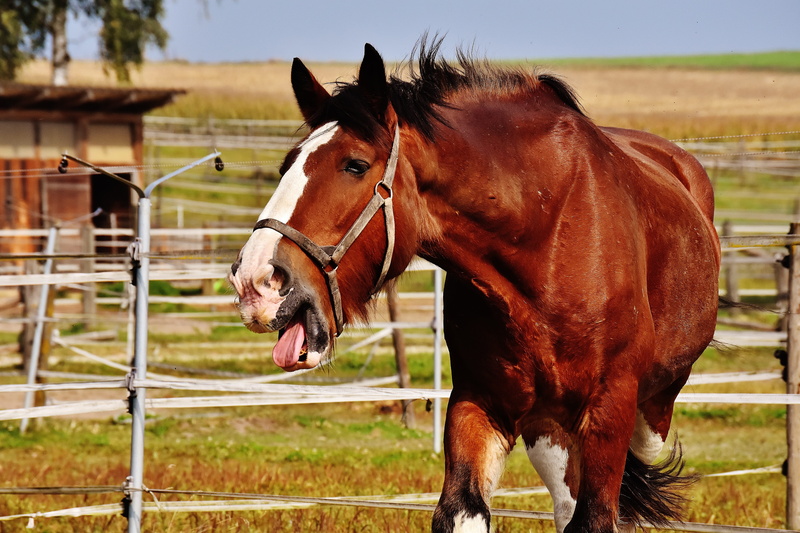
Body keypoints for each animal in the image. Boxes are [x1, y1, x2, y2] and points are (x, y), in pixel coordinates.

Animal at [228, 40, 720, 533]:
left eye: (355, 165)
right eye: (286, 165)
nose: (255, 281)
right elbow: (463, 510)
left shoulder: (609, 410)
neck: (547, 234)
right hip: (549, 428)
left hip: (647, 415)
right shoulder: (478, 403)